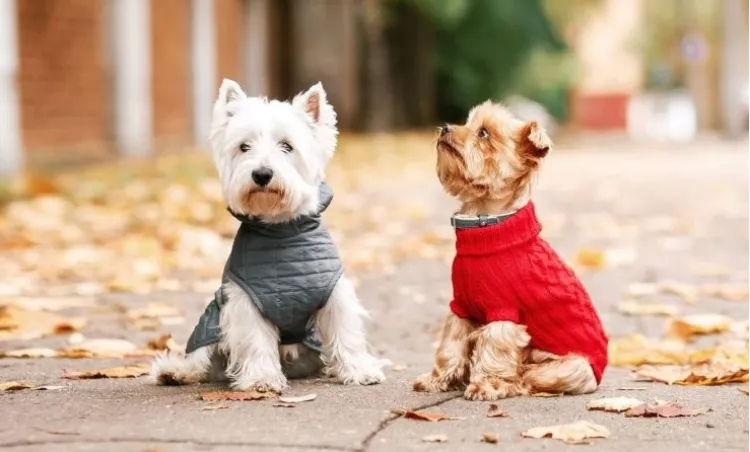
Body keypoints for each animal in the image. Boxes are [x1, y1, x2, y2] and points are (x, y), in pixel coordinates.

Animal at [153, 79, 388, 390]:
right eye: (244, 147)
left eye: (287, 146)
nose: (262, 174)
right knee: (200, 356)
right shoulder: (246, 301)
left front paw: (359, 370)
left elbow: (345, 331)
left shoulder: (333, 292)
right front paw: (261, 378)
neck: (281, 232)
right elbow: (255, 339)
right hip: (212, 318)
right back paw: (176, 371)